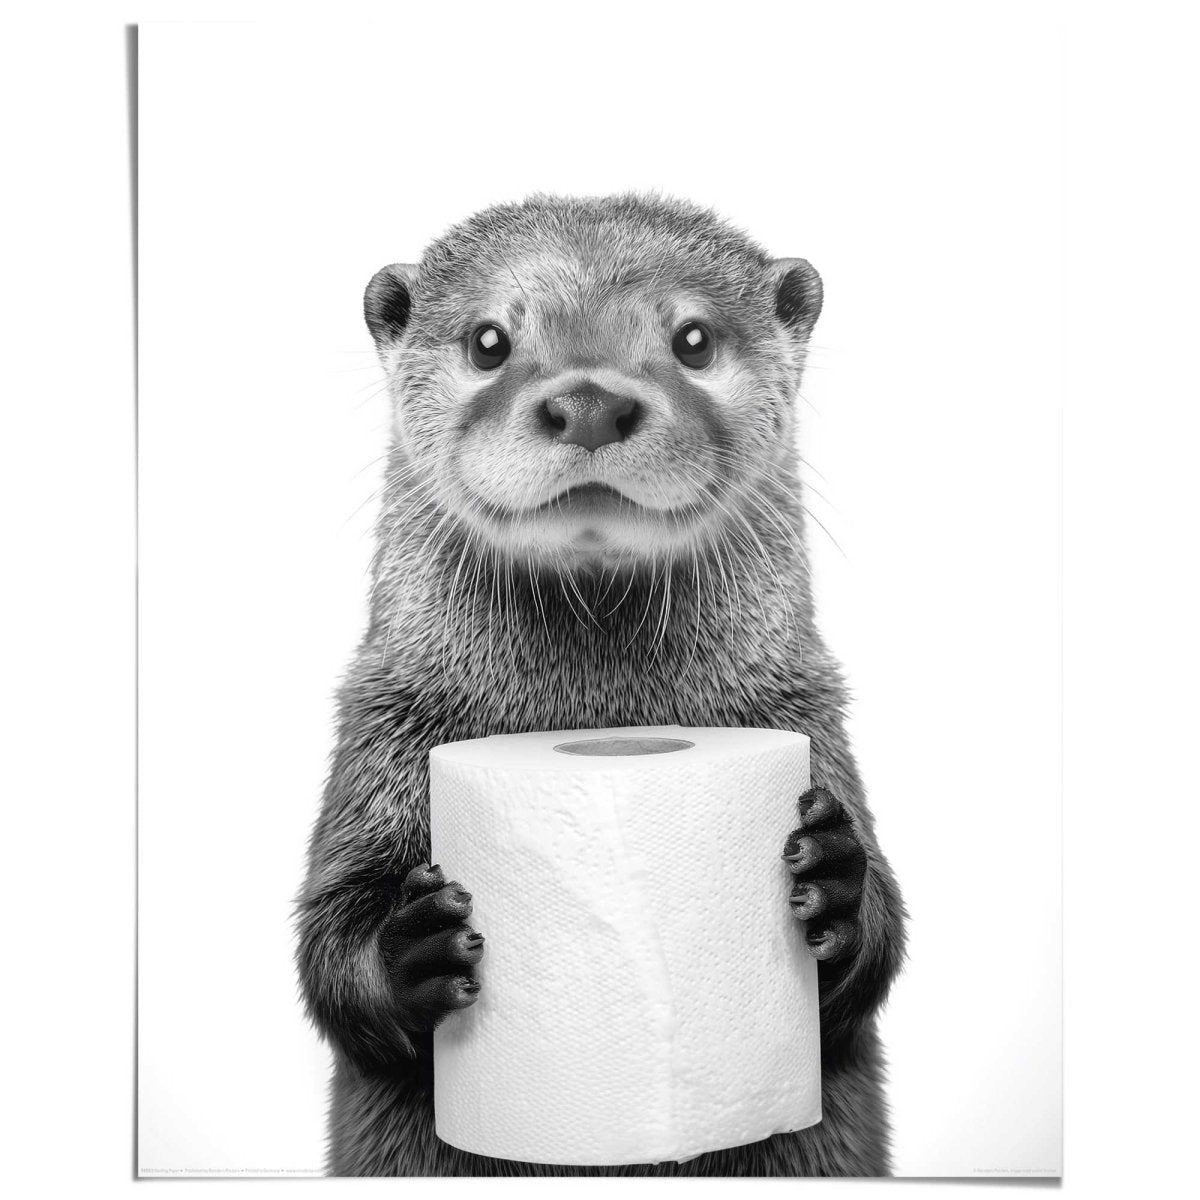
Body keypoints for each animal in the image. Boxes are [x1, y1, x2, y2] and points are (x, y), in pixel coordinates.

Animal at [296, 193, 906, 1177]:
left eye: (693, 338)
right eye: (490, 340)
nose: (587, 400)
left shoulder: (808, 713)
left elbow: (874, 959)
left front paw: (837, 881)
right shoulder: (382, 725)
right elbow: (327, 948)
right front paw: (413, 947)